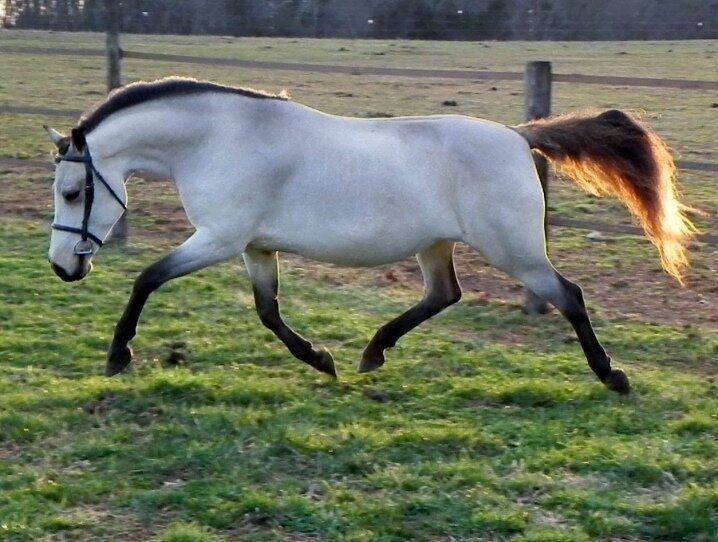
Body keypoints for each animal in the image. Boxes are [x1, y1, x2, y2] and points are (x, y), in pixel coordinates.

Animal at [45, 76, 696, 396]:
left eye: (73, 193)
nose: (61, 268)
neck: (221, 139)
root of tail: (518, 136)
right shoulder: (255, 247)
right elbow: (268, 312)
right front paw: (322, 359)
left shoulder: (219, 239)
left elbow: (147, 278)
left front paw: (118, 355)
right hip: (436, 246)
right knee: (443, 295)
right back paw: (371, 352)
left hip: (513, 250)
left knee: (569, 296)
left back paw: (612, 376)